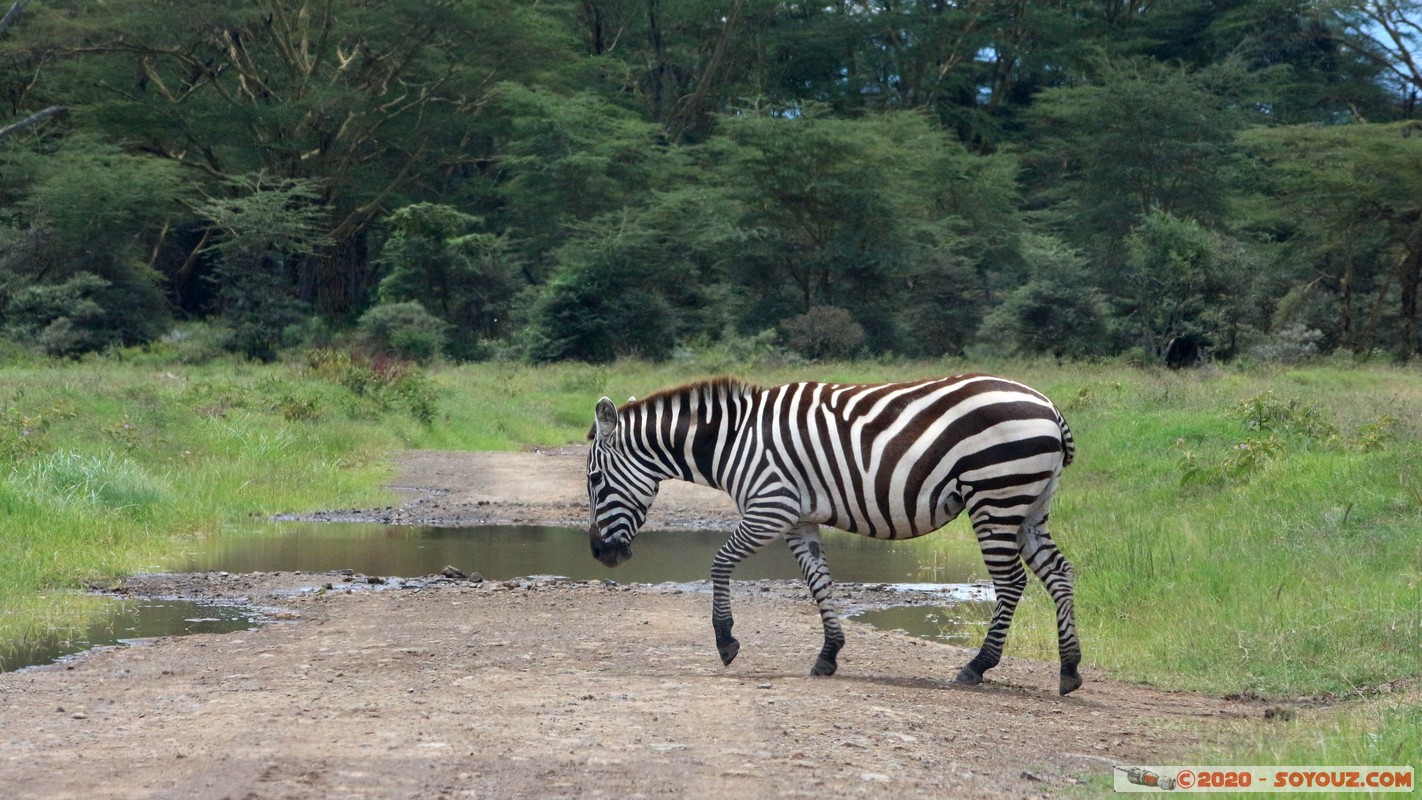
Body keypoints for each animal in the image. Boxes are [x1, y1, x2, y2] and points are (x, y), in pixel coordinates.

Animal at [583, 375, 1080, 696]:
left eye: (593, 480)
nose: (599, 553)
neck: (733, 441)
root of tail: (1049, 406)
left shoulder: (771, 507)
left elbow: (720, 563)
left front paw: (726, 642)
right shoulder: (798, 519)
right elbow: (818, 582)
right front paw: (829, 654)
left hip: (996, 496)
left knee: (1011, 582)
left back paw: (977, 667)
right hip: (1029, 506)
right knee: (1059, 573)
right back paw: (1070, 670)